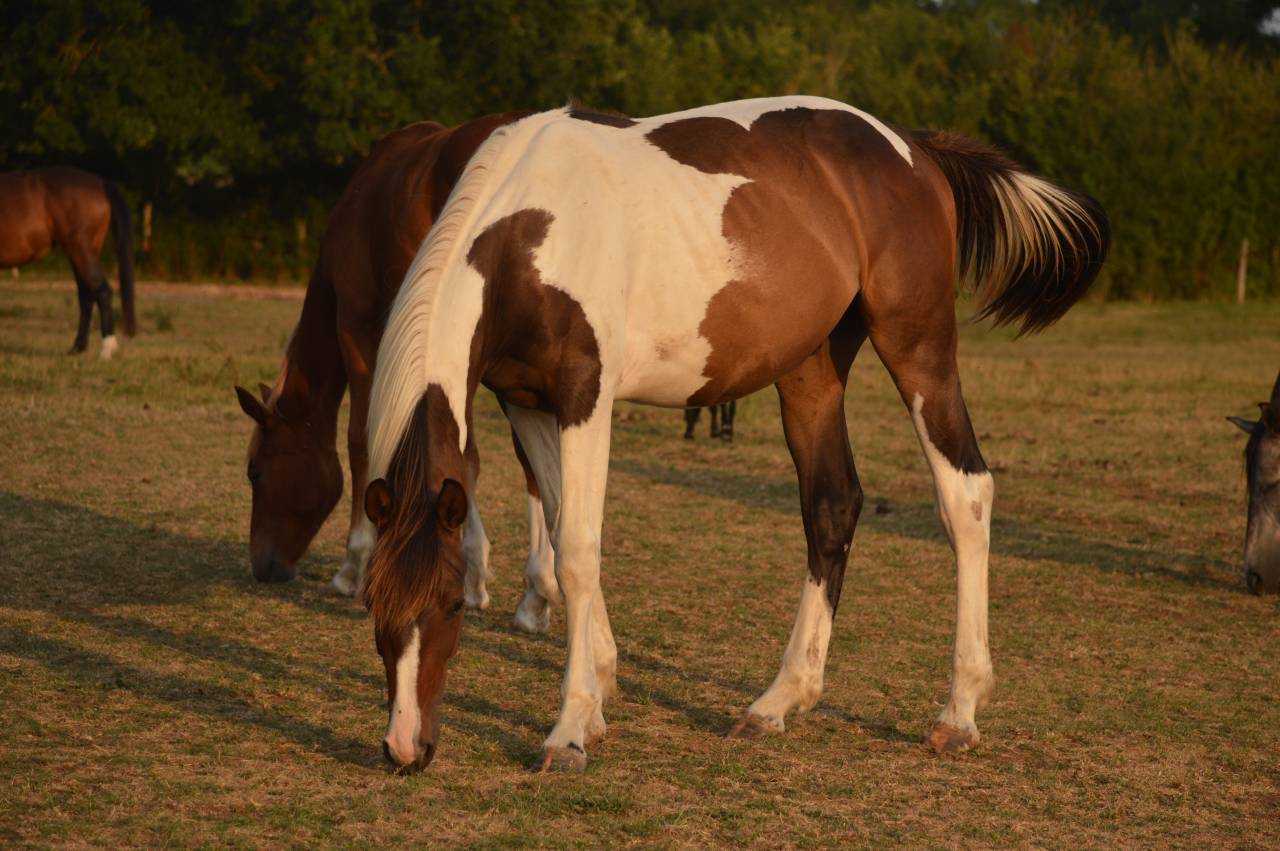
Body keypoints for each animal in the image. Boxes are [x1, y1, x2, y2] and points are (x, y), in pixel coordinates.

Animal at [0, 167, 136, 359]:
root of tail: (101, 183)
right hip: (79, 255)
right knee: (86, 296)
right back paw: (78, 347)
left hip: (81, 251)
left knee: (102, 292)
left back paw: (106, 350)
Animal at [233, 112, 564, 631]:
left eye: (255, 472)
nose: (263, 567)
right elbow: (465, 455)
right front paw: (474, 574)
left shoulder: (359, 328)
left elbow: (363, 439)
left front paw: (355, 563)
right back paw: (536, 594)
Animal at [359, 96, 1108, 773]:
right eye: (372, 600)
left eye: (452, 603)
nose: (406, 747)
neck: (528, 235)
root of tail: (913, 148)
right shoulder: (524, 403)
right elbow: (571, 526)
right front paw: (599, 690)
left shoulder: (584, 398)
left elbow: (577, 550)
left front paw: (568, 730)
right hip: (810, 369)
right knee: (831, 506)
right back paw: (780, 700)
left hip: (917, 346)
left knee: (965, 497)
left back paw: (958, 712)